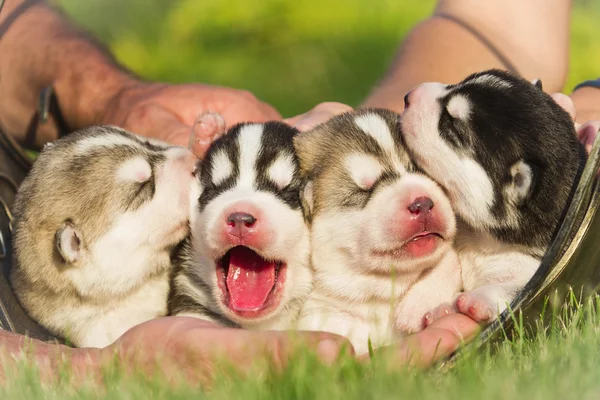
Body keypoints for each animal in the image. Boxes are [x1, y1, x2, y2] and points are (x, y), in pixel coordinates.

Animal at [398, 69, 584, 324]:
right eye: (457, 82)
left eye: (452, 126)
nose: (408, 96)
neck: (485, 241)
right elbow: (447, 260)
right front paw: (419, 303)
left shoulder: (536, 272)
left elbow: (516, 290)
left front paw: (479, 299)